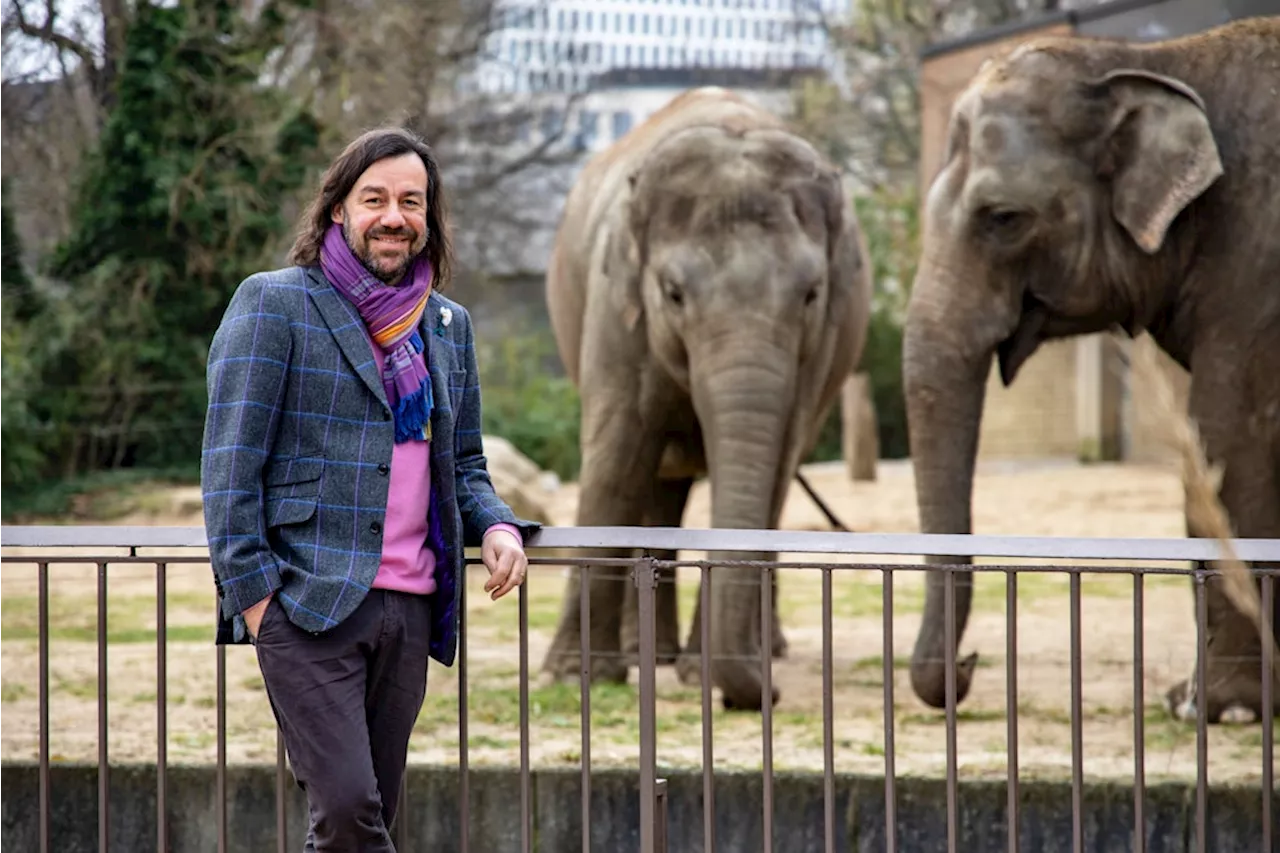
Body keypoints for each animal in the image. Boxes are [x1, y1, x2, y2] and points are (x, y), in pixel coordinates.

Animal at [535, 87, 875, 712]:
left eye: (811, 294)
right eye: (673, 293)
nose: (767, 695)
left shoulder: (820, 344)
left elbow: (774, 467)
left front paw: (703, 674)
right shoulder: (616, 306)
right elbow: (617, 458)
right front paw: (573, 676)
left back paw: (740, 651)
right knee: (653, 486)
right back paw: (650, 655)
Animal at [901, 16, 1280, 722]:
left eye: (1003, 218)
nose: (968, 666)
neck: (1151, 59)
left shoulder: (1259, 269)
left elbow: (1225, 443)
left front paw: (1216, 709)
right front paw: (1192, 700)